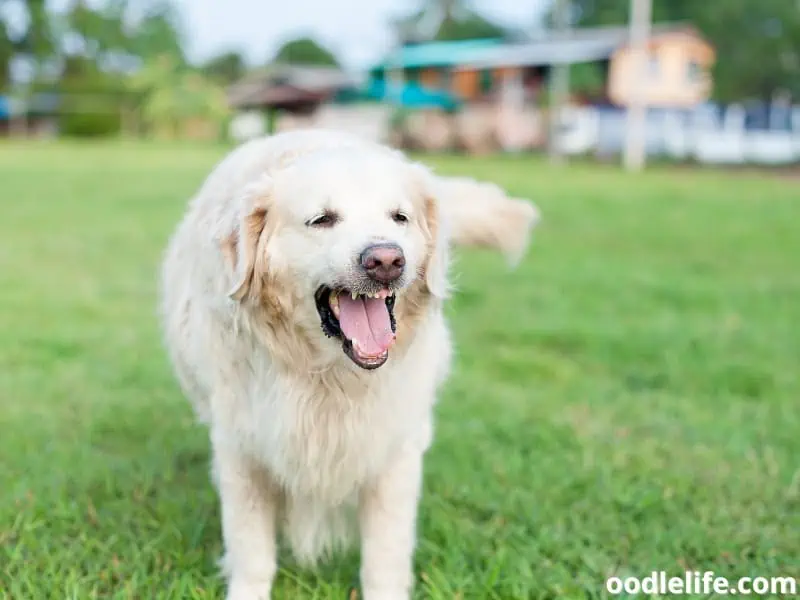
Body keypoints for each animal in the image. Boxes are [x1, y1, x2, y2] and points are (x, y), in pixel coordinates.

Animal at [158, 131, 536, 600]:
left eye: (400, 218)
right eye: (322, 219)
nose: (386, 260)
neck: (330, 376)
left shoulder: (393, 452)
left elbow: (385, 557)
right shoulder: (242, 448)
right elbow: (252, 551)